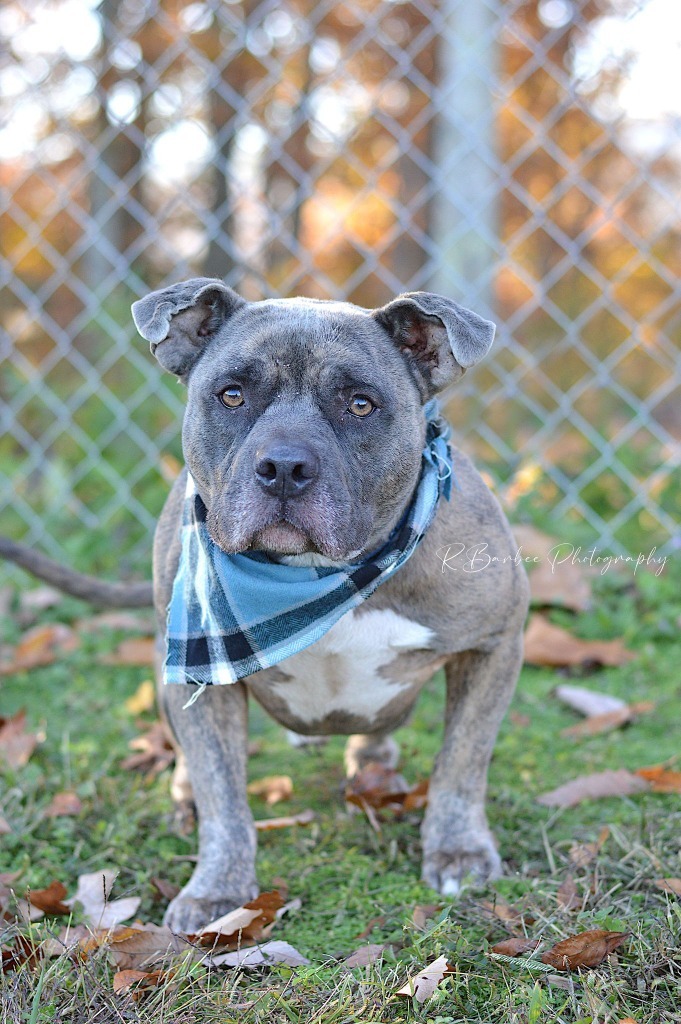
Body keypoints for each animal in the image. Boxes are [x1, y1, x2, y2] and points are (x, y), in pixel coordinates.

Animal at [123, 276, 524, 933]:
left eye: (360, 404)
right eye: (231, 395)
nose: (284, 466)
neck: (318, 576)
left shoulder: (493, 647)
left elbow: (462, 762)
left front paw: (458, 850)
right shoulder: (198, 678)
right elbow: (222, 792)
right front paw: (218, 888)